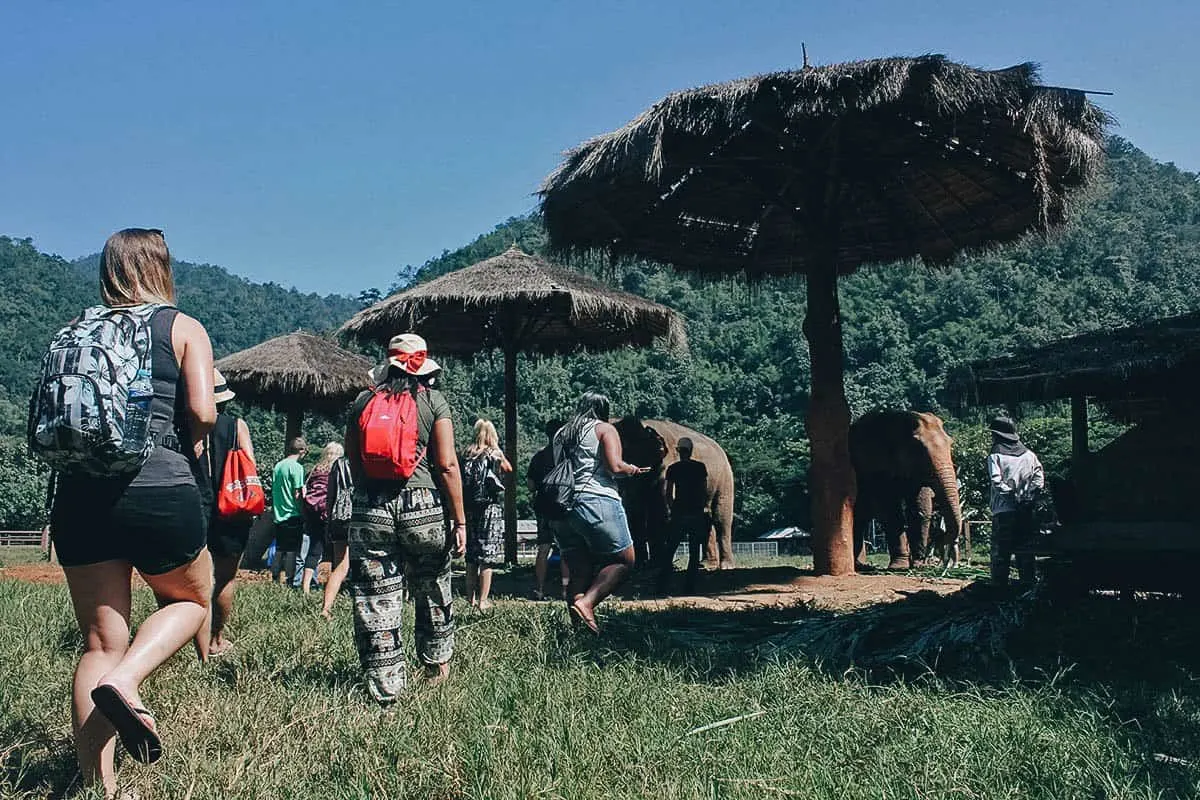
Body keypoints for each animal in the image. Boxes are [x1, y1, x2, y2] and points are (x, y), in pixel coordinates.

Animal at [614, 419, 734, 575]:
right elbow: (637, 511)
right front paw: (640, 567)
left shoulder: (667, 469)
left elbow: (659, 512)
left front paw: (656, 566)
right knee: (706, 518)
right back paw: (705, 565)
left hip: (725, 477)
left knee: (721, 518)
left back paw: (726, 566)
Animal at [844, 410, 964, 573]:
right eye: (918, 449)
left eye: (950, 443)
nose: (939, 535)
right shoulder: (875, 466)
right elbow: (890, 510)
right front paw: (900, 566)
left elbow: (920, 508)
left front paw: (919, 565)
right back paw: (860, 566)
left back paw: (862, 565)